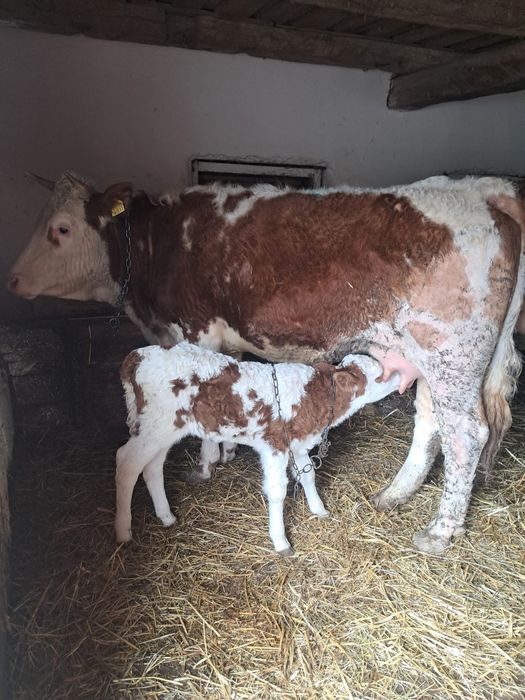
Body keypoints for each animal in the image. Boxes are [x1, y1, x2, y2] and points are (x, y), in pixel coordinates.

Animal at [115, 343, 401, 553]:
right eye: (379, 375)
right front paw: (281, 541)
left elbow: (308, 474)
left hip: (162, 430)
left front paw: (319, 509)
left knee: (152, 467)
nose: (400, 374)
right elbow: (277, 491)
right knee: (127, 462)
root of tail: (137, 355)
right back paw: (123, 530)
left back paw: (166, 516)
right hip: (156, 425)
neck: (312, 397)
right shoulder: (274, 446)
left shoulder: (297, 444)